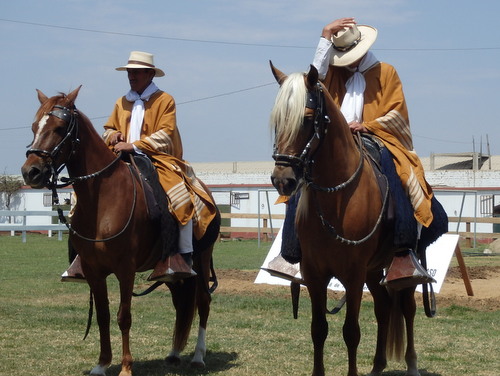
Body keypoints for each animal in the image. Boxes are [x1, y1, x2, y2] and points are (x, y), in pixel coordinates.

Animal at [21, 86, 220, 376]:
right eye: (35, 127)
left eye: (59, 128)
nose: (31, 172)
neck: (103, 200)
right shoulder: (93, 270)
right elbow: (103, 316)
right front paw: (102, 363)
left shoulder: (126, 269)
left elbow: (123, 316)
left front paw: (126, 367)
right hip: (175, 273)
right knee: (180, 303)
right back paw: (174, 353)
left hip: (203, 259)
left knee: (203, 303)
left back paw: (198, 356)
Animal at [270, 62, 422, 376]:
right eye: (277, 120)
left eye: (307, 119)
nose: (282, 180)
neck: (337, 201)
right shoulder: (314, 274)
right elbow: (318, 329)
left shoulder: (353, 275)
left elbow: (351, 332)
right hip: (374, 270)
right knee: (384, 307)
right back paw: (377, 366)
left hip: (400, 270)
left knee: (407, 309)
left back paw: (412, 364)